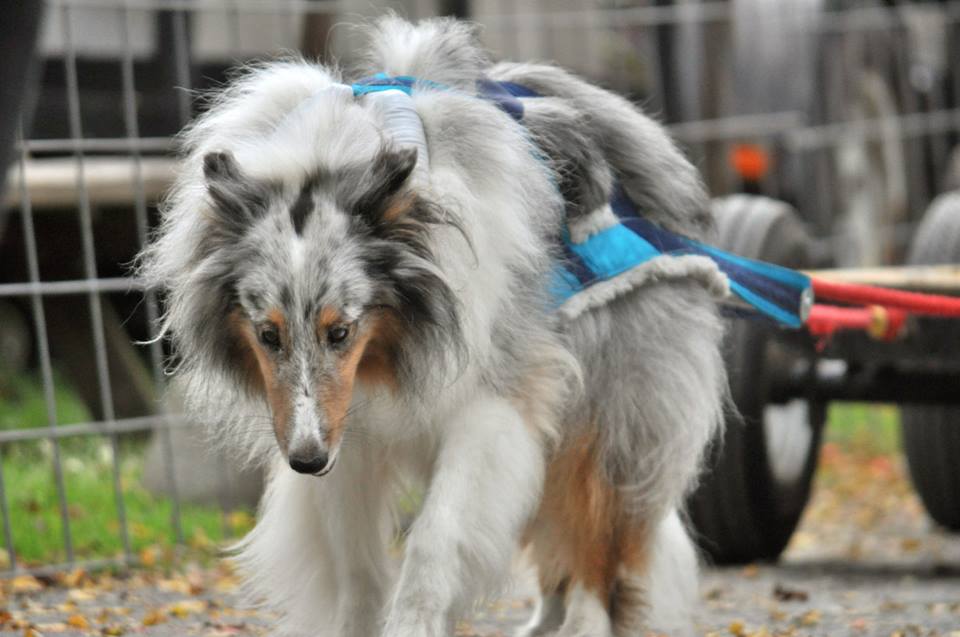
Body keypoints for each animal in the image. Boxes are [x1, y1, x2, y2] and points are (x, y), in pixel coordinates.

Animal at [141, 14, 728, 636]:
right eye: (268, 335)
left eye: (339, 331)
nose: (305, 460)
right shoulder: (346, 428)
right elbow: (356, 568)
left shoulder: (489, 409)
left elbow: (435, 539)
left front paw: (412, 624)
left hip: (606, 419)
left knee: (594, 553)